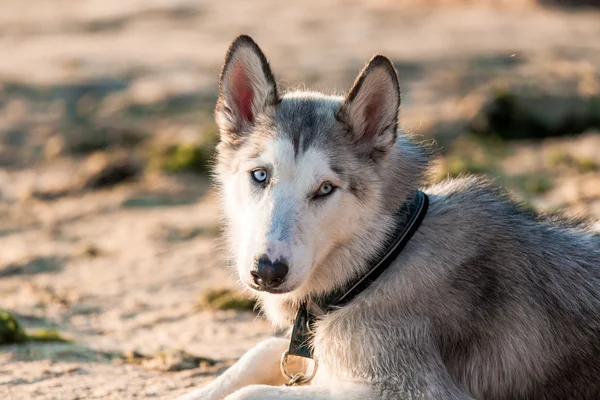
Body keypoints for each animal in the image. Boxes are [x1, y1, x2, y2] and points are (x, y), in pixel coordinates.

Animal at [178, 35, 600, 400]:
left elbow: (249, 391)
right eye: (260, 175)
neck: (380, 259)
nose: (266, 272)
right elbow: (261, 351)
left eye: (325, 189)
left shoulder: (416, 390)